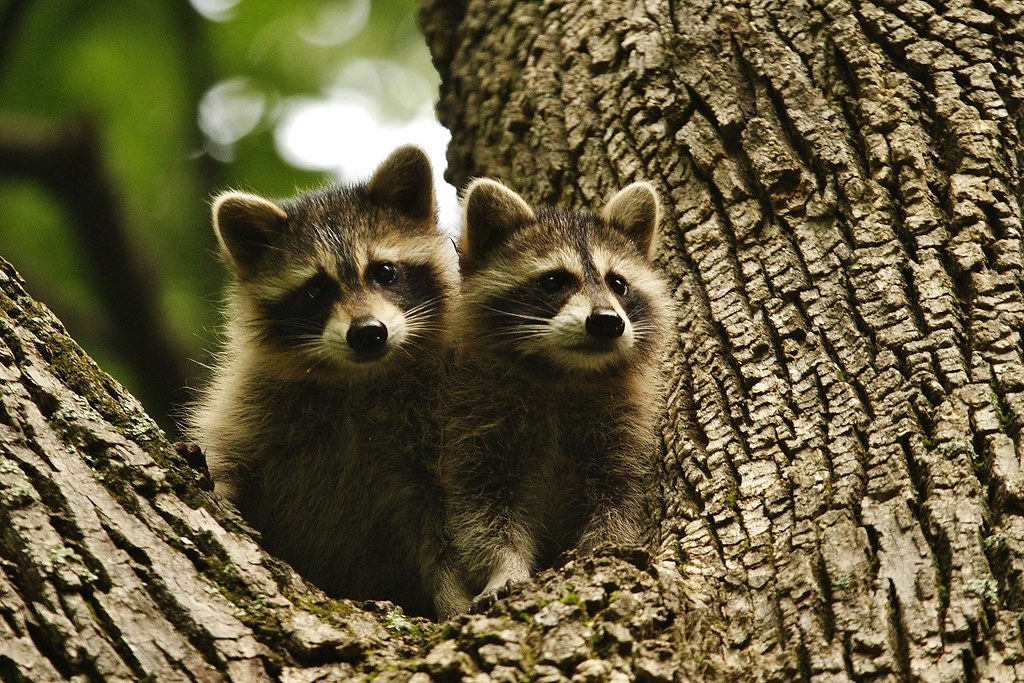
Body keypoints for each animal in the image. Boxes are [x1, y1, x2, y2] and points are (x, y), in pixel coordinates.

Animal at [187, 145, 456, 618]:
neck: (357, 378)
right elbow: (232, 458)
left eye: (384, 272)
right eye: (315, 291)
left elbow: (443, 523)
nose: (368, 333)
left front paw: (455, 595)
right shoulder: (252, 405)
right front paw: (220, 487)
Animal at [434, 179, 674, 618]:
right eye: (553, 281)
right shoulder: (472, 417)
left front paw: (603, 548)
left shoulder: (622, 429)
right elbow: (481, 513)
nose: (607, 322)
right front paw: (503, 567)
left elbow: (620, 499)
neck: (564, 373)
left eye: (618, 283)